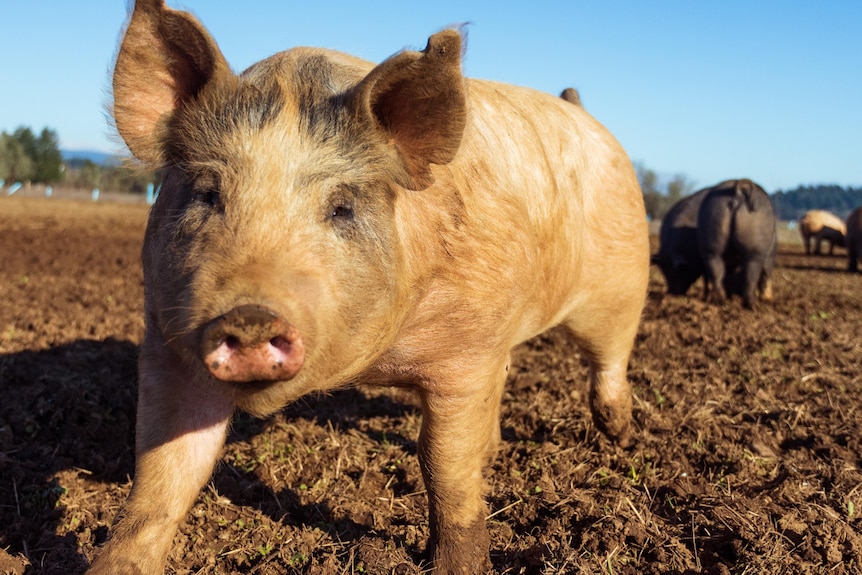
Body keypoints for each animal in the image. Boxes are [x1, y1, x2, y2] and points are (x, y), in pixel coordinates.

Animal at [89, 1, 648, 575]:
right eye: (207, 193)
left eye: (342, 208)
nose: (249, 315)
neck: (369, 366)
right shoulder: (167, 342)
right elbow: (163, 475)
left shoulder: (467, 352)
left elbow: (443, 466)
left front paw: (454, 564)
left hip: (622, 282)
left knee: (609, 360)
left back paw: (622, 437)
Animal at [700, 179, 780, 308]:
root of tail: (737, 193)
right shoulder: (769, 258)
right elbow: (765, 276)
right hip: (756, 247)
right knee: (750, 275)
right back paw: (753, 304)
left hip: (711, 227)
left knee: (716, 269)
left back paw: (720, 301)